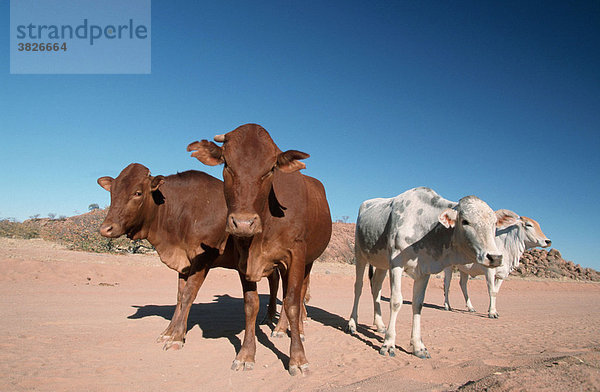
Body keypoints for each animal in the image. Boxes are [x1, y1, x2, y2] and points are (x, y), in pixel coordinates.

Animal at [96, 162, 278, 350]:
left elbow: (189, 293)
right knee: (275, 280)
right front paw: (168, 332)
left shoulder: (203, 259)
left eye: (138, 192)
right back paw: (270, 318)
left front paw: (177, 336)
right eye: (112, 191)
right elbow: (179, 295)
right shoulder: (183, 262)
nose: (106, 228)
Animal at [189, 124, 332, 376]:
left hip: (309, 260)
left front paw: (298, 358)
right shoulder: (243, 260)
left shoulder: (296, 255)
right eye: (227, 164)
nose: (243, 223)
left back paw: (299, 329)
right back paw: (281, 328)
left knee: (299, 293)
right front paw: (246, 354)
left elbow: (293, 303)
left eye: (270, 169)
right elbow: (251, 305)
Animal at [344, 187, 516, 358]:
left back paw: (379, 324)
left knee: (376, 288)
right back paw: (352, 323)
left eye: (494, 223)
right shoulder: (396, 265)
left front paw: (418, 346)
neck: (426, 229)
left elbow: (418, 304)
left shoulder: (424, 271)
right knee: (358, 287)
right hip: (360, 255)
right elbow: (396, 302)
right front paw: (388, 344)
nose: (495, 257)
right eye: (465, 221)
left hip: (381, 264)